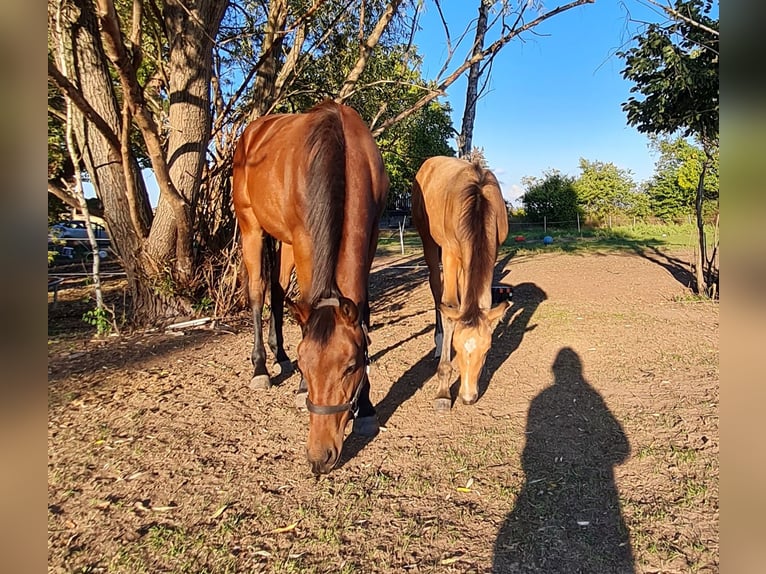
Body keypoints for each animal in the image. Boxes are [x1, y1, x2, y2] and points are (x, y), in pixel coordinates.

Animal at [232, 101, 390, 474]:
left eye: (351, 366)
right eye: (307, 366)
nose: (319, 457)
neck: (343, 150)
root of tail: (251, 132)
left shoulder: (371, 236)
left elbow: (362, 311)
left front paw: (367, 407)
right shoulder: (305, 239)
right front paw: (302, 385)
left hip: (284, 241)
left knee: (277, 290)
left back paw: (279, 353)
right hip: (251, 226)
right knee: (258, 291)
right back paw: (261, 367)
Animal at [412, 155, 512, 412]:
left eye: (487, 350)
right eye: (456, 348)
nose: (468, 397)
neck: (478, 201)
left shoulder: (490, 252)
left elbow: (483, 300)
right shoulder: (449, 253)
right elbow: (448, 307)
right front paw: (443, 392)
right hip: (430, 243)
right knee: (436, 289)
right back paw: (438, 342)